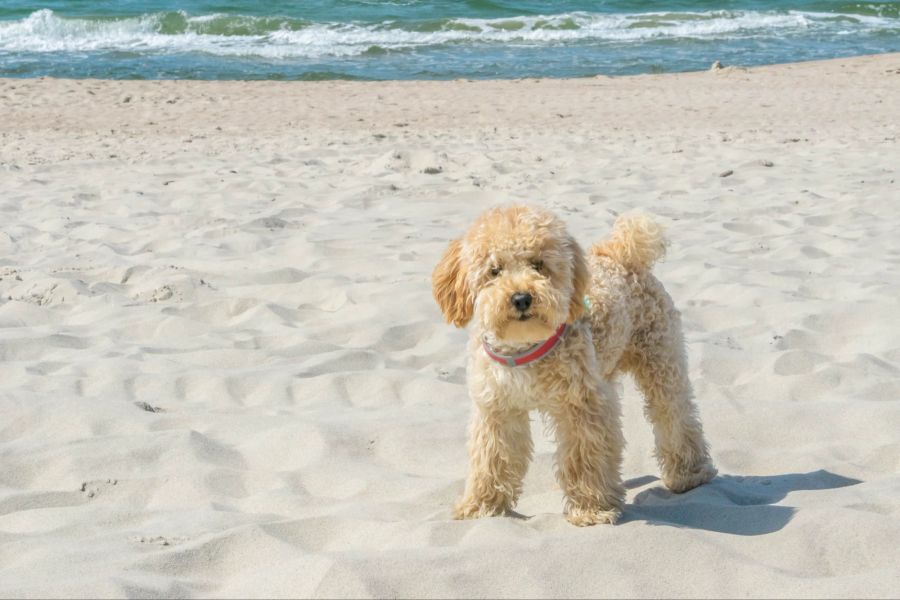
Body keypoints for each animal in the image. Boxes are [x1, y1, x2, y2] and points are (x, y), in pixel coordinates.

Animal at [430, 206, 716, 524]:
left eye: (539, 264)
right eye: (494, 270)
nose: (521, 298)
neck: (525, 348)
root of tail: (618, 253)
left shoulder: (580, 407)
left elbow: (585, 457)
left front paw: (591, 507)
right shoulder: (497, 410)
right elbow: (491, 459)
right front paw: (481, 506)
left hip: (661, 363)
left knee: (675, 416)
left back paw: (689, 473)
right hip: (605, 375)